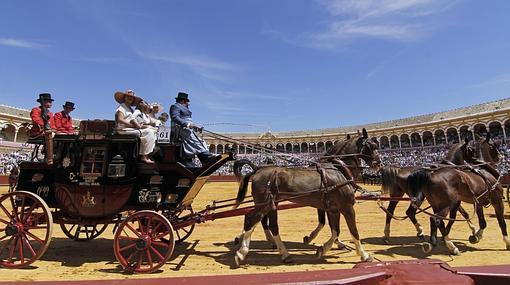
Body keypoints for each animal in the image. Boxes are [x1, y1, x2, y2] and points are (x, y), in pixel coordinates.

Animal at [231, 159, 370, 266]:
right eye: (372, 145)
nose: (376, 165)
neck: (339, 175)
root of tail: (257, 169)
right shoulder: (347, 208)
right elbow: (354, 231)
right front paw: (364, 255)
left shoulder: (334, 210)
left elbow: (335, 231)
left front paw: (322, 249)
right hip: (264, 204)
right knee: (252, 219)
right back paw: (241, 253)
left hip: (271, 205)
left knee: (269, 225)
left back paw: (284, 254)